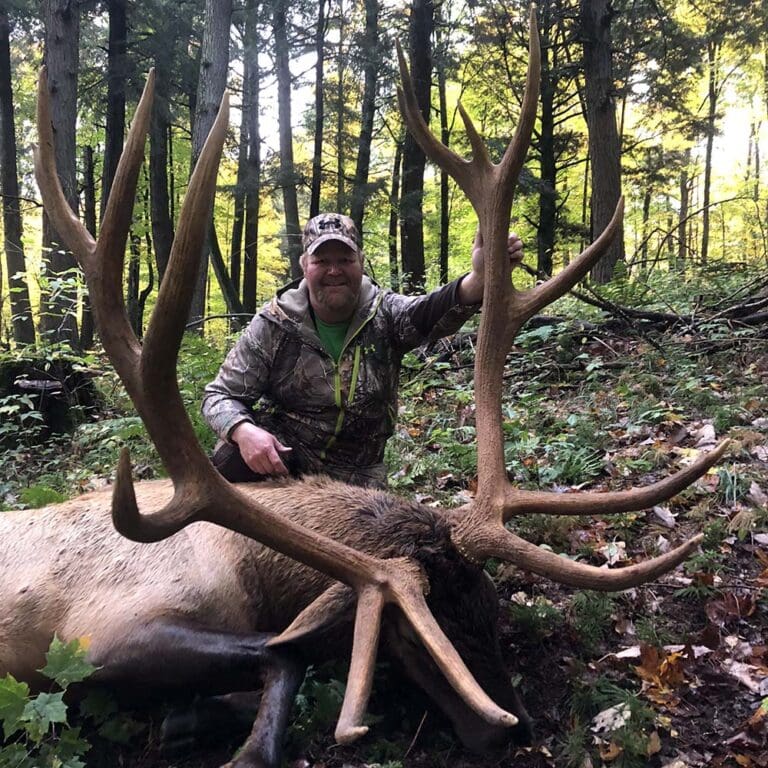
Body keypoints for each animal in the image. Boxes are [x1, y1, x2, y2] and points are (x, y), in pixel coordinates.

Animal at [0, 9, 728, 768]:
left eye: (490, 605)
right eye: (410, 633)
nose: (517, 730)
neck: (249, 572)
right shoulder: (95, 636)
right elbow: (283, 656)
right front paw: (214, 728)